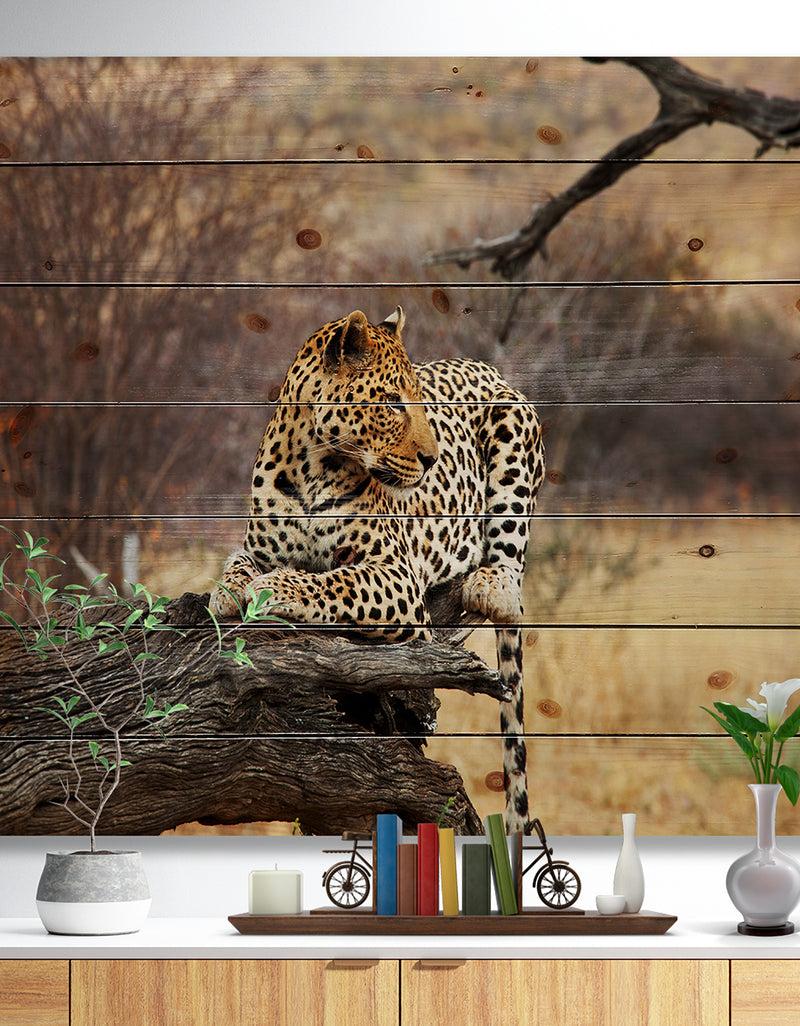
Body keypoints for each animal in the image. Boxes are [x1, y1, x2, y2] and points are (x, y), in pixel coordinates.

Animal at [210, 306, 545, 832]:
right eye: (391, 402)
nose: (431, 459)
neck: (310, 465)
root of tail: (490, 369)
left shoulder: (395, 575)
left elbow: (336, 581)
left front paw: (278, 588)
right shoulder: (255, 546)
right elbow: (239, 564)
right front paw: (227, 591)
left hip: (514, 434)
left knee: (509, 571)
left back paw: (490, 583)